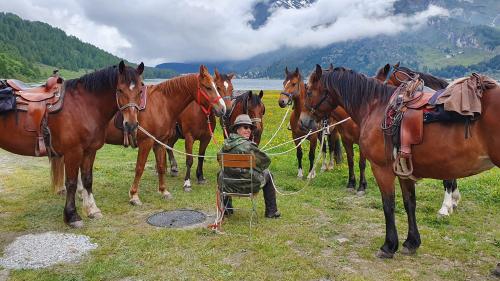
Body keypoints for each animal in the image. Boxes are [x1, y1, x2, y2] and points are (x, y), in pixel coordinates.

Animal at [2, 60, 145, 226]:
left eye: (140, 90)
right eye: (120, 90)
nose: (131, 125)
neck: (84, 105)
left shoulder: (90, 151)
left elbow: (87, 180)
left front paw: (92, 210)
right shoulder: (73, 152)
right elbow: (71, 183)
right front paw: (72, 216)